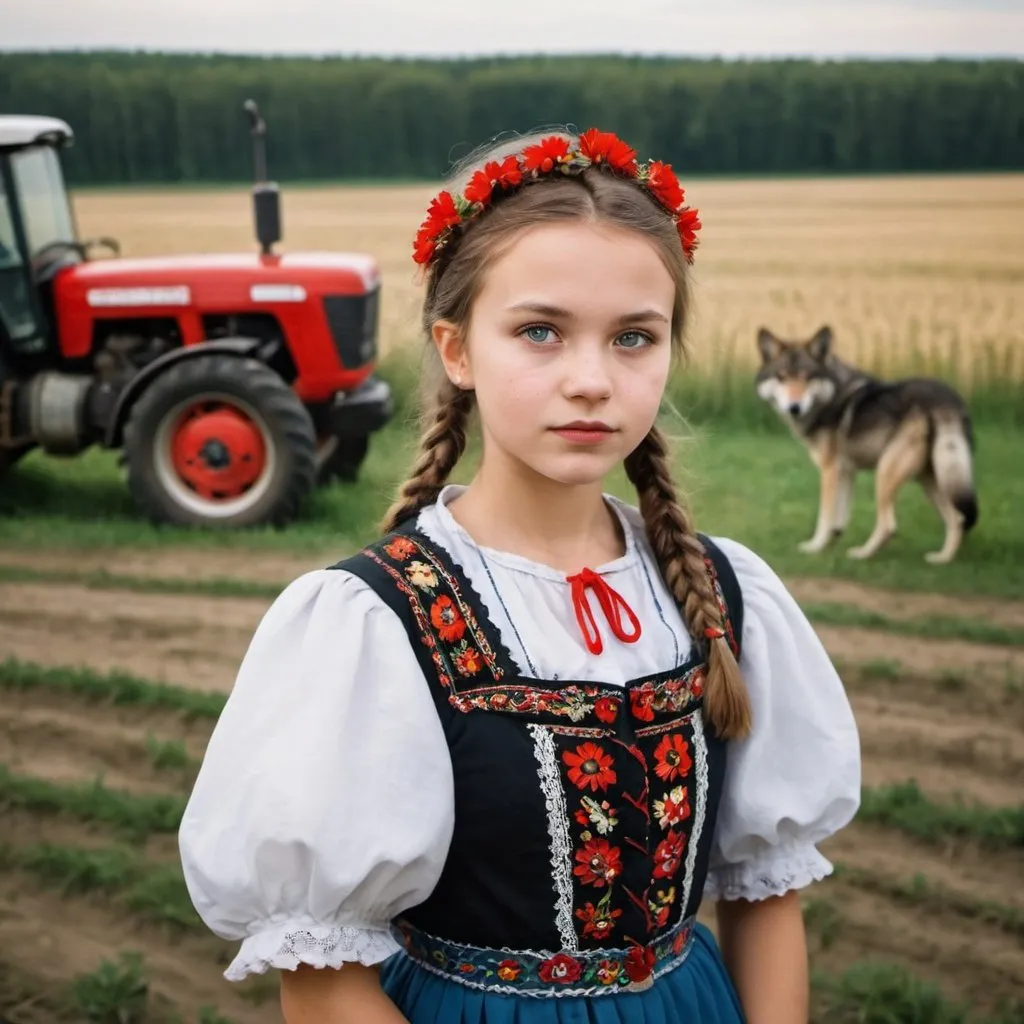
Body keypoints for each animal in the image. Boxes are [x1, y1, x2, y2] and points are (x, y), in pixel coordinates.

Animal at [757, 325, 978, 565]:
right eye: (782, 377)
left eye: (807, 378)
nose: (794, 407)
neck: (830, 397)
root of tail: (945, 399)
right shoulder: (846, 472)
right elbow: (839, 520)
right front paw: (830, 546)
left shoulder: (829, 470)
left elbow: (825, 517)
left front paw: (815, 547)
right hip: (929, 479)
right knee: (957, 518)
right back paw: (942, 559)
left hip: (886, 473)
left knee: (889, 525)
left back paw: (862, 554)